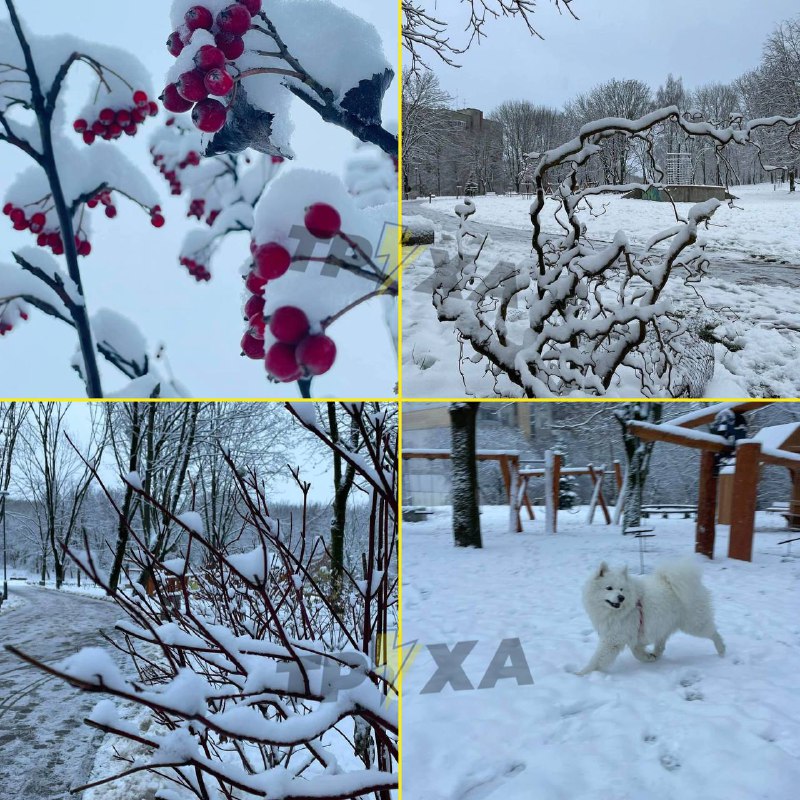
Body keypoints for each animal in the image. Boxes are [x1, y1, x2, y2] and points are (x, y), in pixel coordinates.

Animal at [576, 564, 724, 676]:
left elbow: (597, 659)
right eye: (609, 588)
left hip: (694, 624)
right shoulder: (632, 633)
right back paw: (656, 655)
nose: (621, 597)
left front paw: (581, 673)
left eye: (621, 589)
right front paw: (648, 657)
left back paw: (721, 650)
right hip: (664, 624)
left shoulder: (613, 639)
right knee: (661, 644)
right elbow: (636, 652)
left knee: (713, 633)